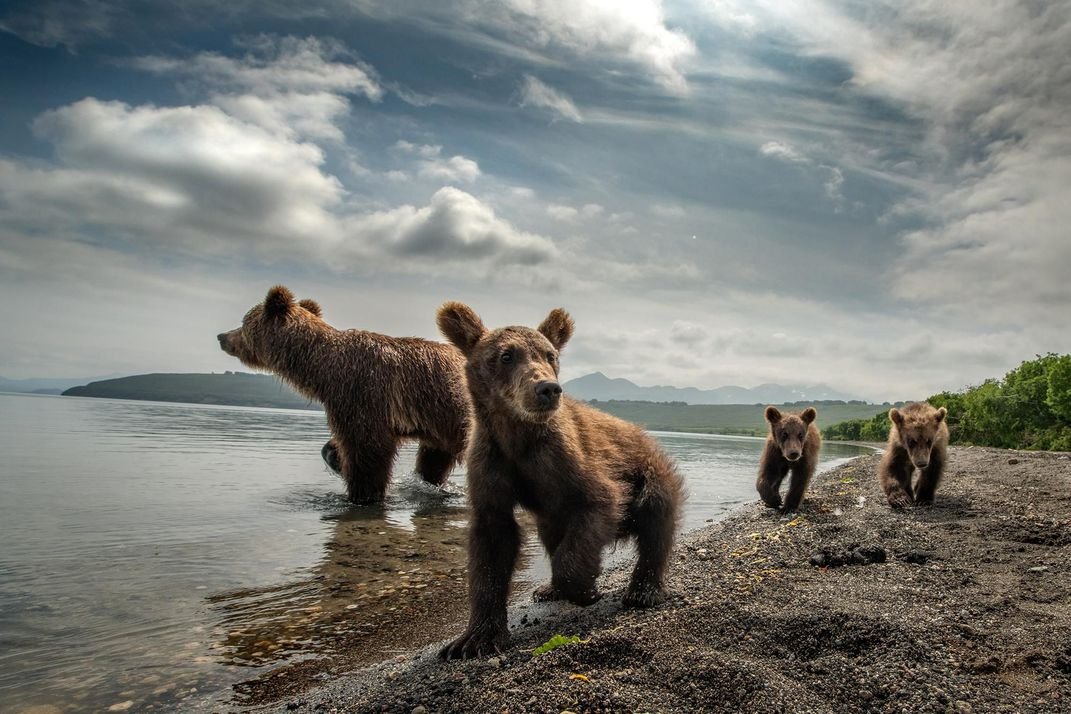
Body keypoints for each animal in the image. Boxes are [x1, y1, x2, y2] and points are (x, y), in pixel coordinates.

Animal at [217, 284, 469, 503]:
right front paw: (334, 456)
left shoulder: (362, 392)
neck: (323, 370)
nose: (221, 336)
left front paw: (361, 494)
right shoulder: (423, 422)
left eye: (243, 323)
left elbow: (367, 452)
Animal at [434, 299, 685, 659]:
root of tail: (646, 434)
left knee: (656, 522)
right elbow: (492, 543)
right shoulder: (492, 464)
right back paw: (548, 589)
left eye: (550, 355)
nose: (547, 388)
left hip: (649, 473)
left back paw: (643, 590)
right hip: (553, 513)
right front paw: (473, 639)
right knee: (551, 533)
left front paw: (585, 589)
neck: (518, 436)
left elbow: (600, 501)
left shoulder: (566, 460)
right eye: (506, 355)